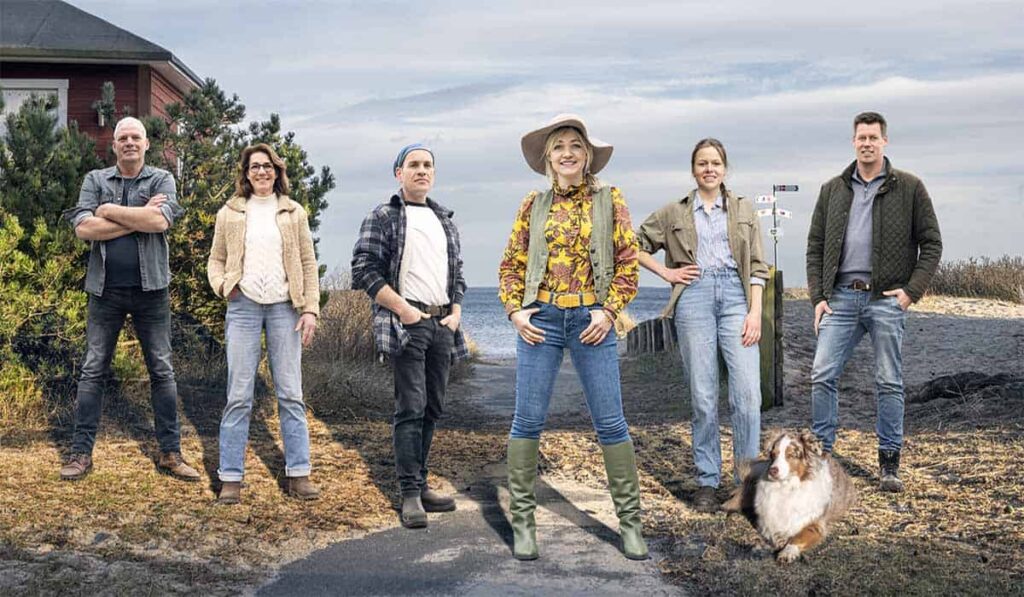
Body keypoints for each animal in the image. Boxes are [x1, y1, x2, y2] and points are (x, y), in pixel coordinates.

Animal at [720, 432, 856, 561]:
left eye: (791, 455)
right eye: (773, 455)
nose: (772, 470)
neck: (786, 488)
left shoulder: (816, 525)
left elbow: (798, 538)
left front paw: (788, 552)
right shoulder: (766, 521)